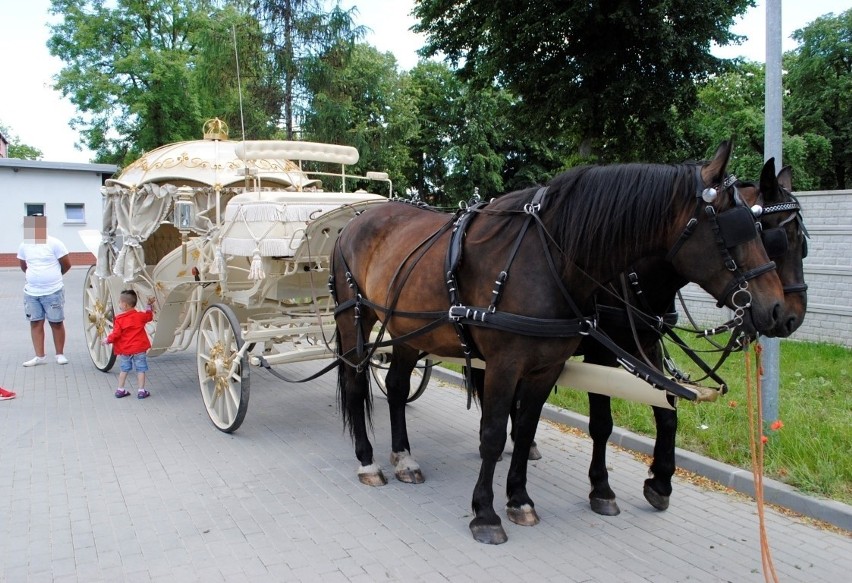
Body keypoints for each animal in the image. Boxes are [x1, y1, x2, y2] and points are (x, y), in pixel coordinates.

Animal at [330, 139, 784, 544]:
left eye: (766, 230)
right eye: (736, 228)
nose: (779, 310)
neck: (549, 258)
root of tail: (354, 221)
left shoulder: (546, 368)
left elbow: (526, 428)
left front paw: (519, 499)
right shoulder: (505, 365)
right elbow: (493, 435)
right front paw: (485, 514)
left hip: (407, 330)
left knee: (395, 386)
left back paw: (403, 457)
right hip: (356, 320)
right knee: (354, 383)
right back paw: (367, 461)